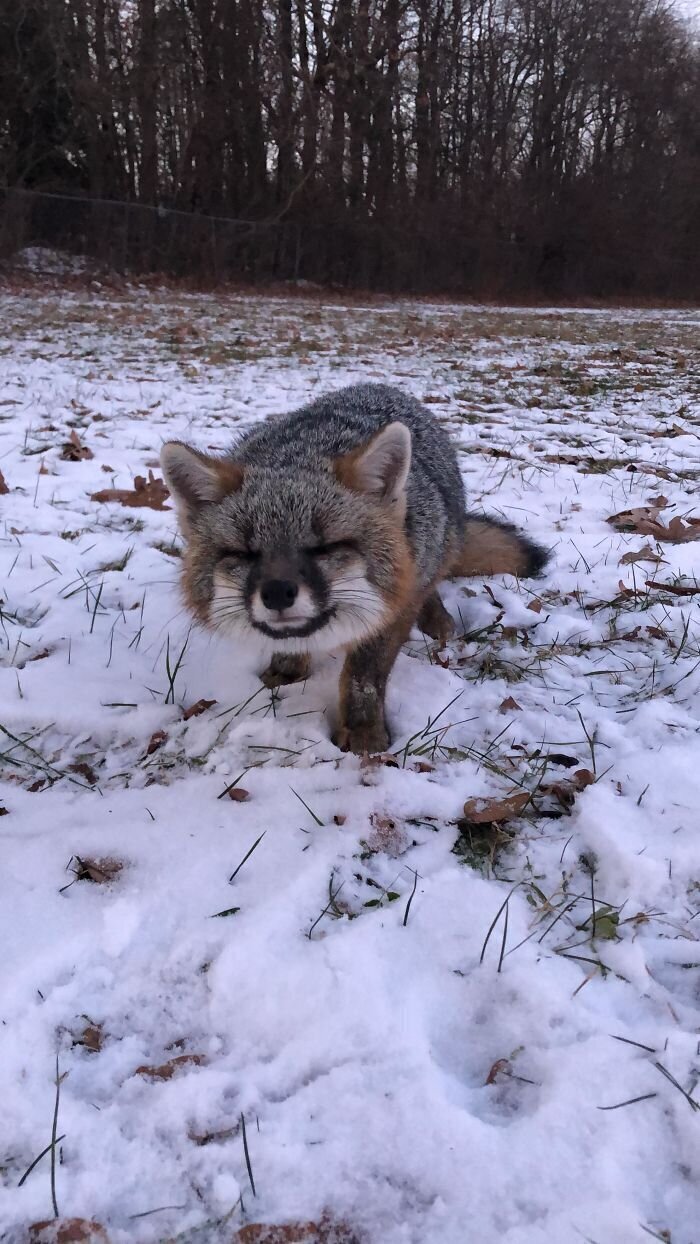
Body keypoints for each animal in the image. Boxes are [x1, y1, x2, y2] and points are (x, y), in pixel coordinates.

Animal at [160, 378, 547, 751]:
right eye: (243, 553)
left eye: (326, 546)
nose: (277, 593)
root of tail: (379, 386)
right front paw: (285, 675)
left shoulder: (391, 612)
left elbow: (364, 677)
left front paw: (364, 734)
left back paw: (436, 618)